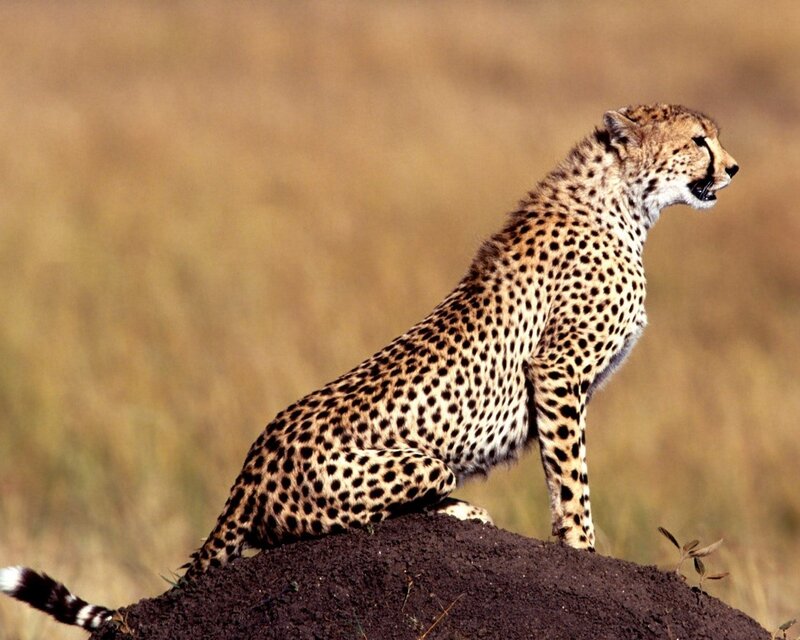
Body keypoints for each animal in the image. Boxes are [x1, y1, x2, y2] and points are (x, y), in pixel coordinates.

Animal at [0, 104, 738, 630]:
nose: (733, 168)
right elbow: (572, 479)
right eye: (698, 139)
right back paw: (459, 511)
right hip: (412, 465)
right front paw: (585, 552)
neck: (624, 204)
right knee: (321, 528)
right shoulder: (556, 373)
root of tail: (251, 464)